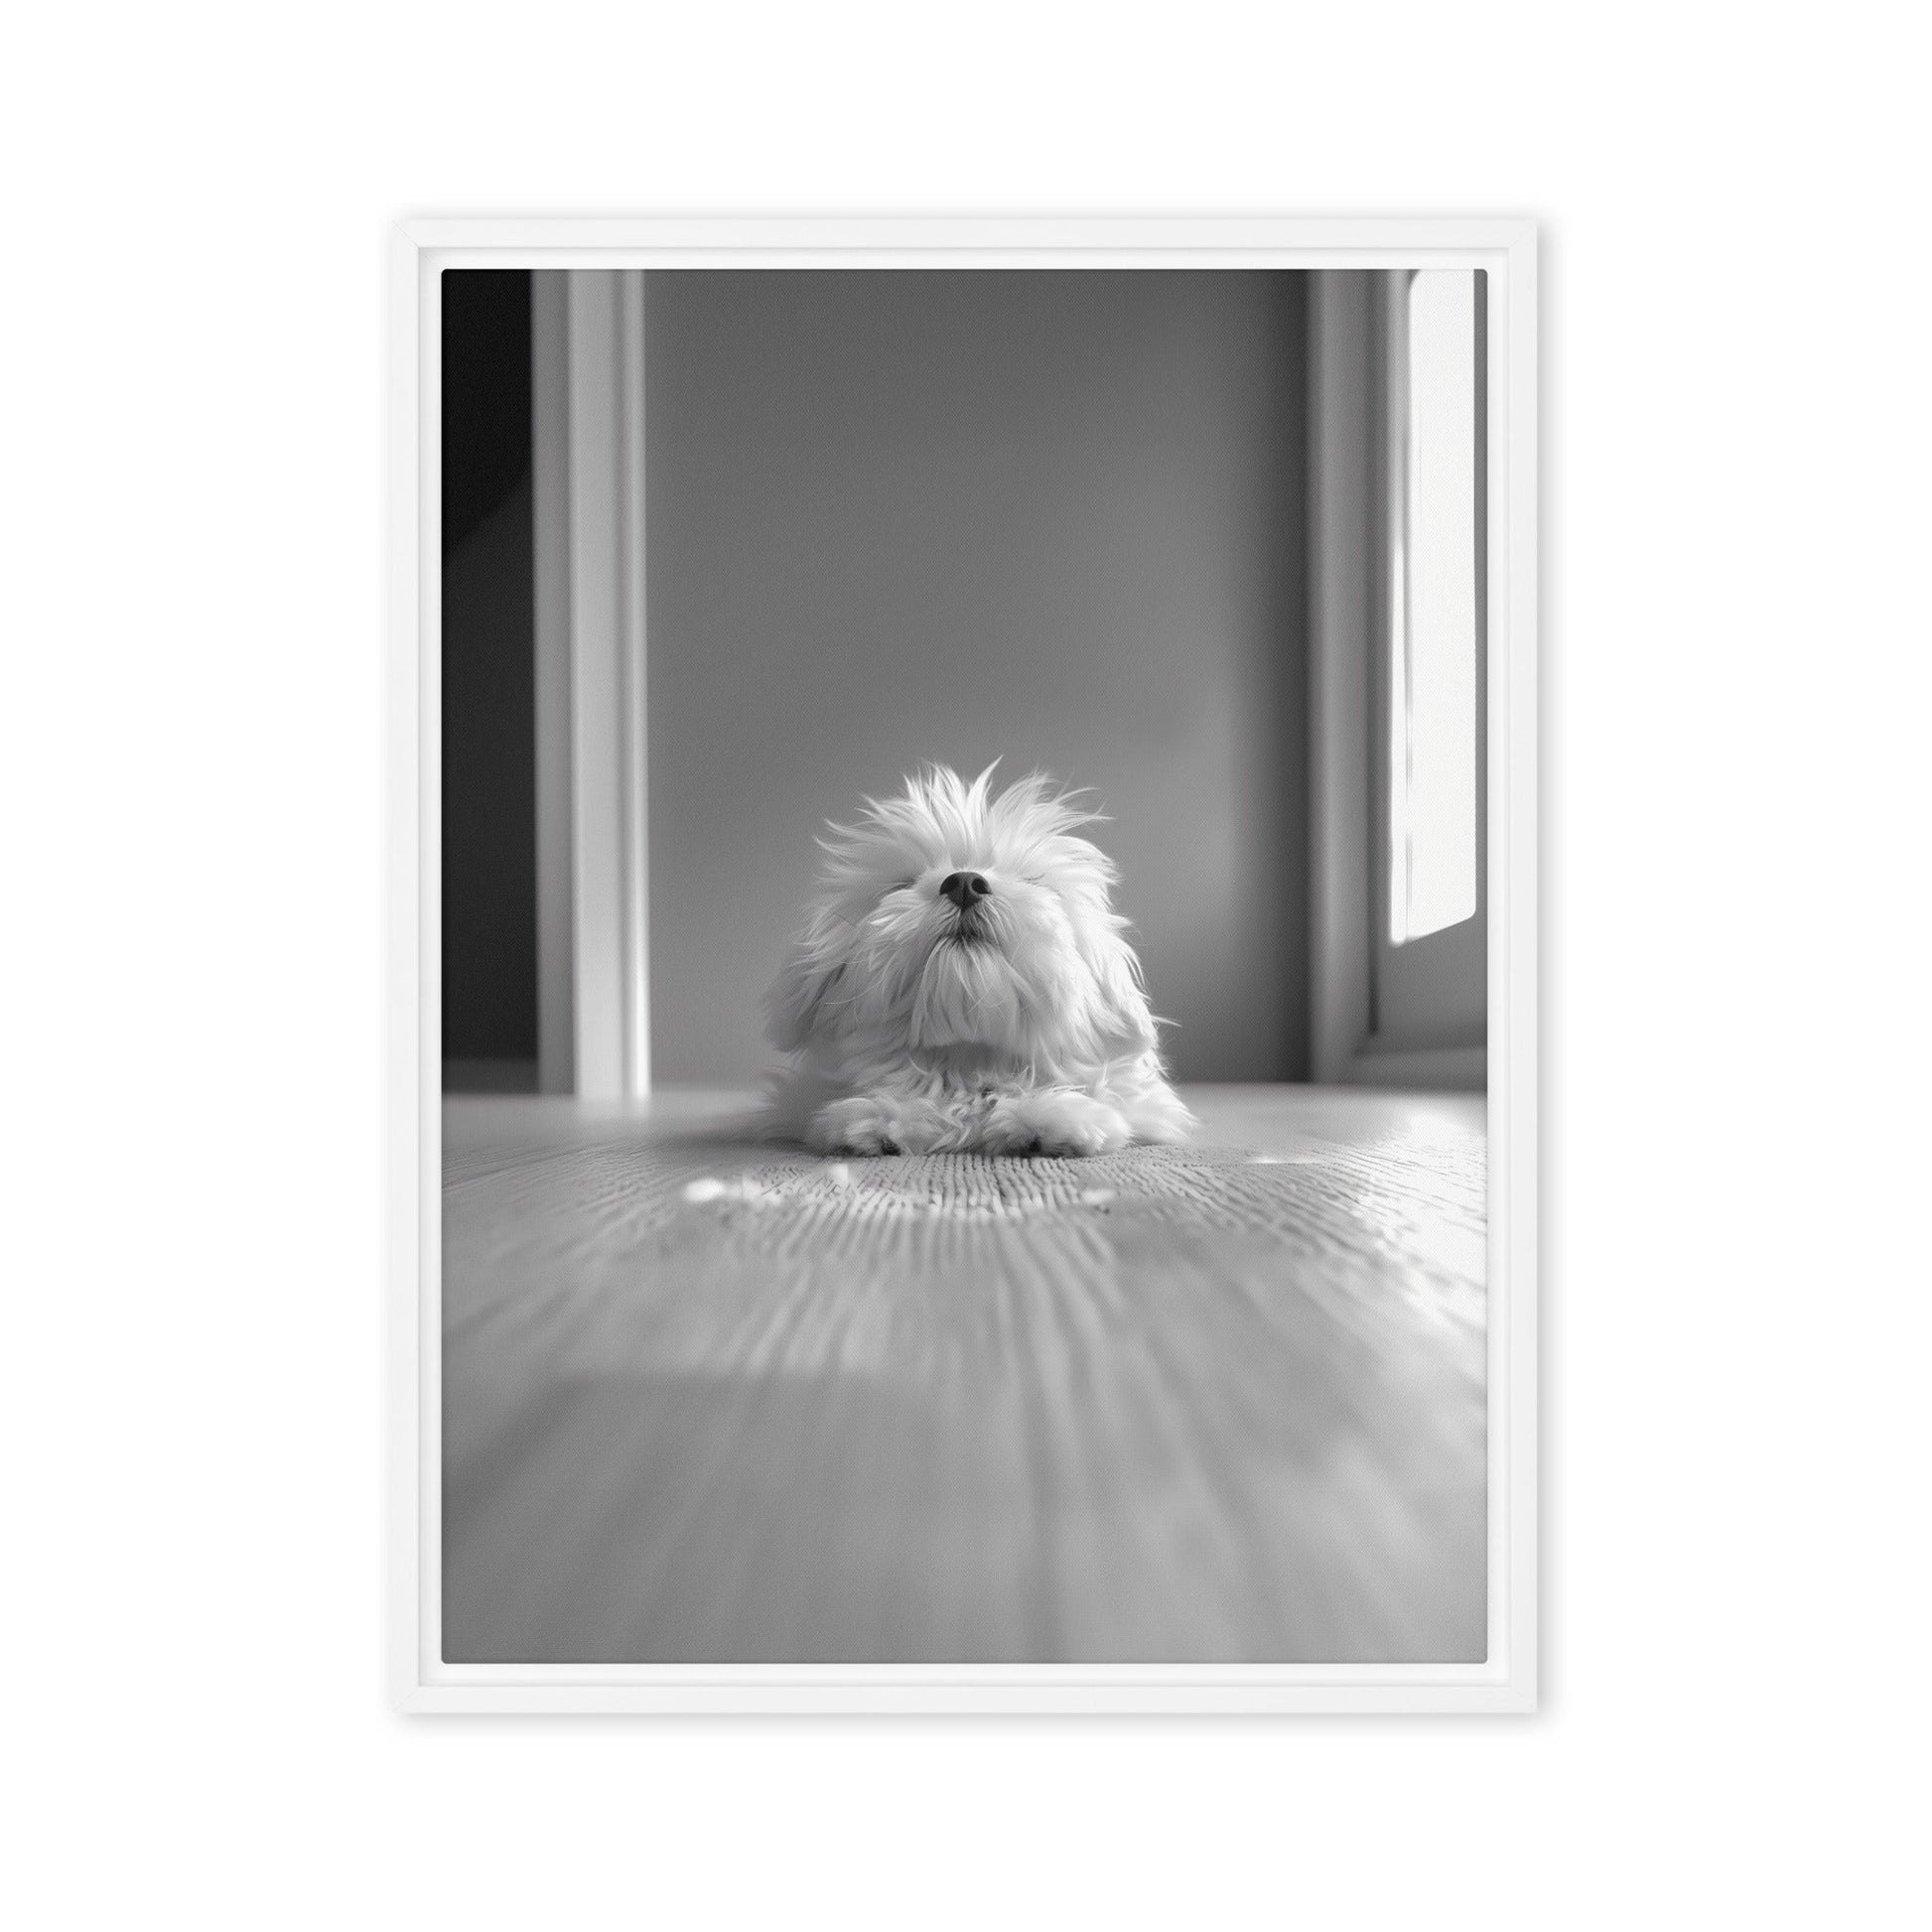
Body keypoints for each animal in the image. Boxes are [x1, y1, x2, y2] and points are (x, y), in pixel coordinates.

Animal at [757, 760, 1189, 1151]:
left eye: (1033, 881)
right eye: (903, 883)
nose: (964, 882)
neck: (970, 1062)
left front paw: (1053, 1118)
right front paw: (880, 1117)